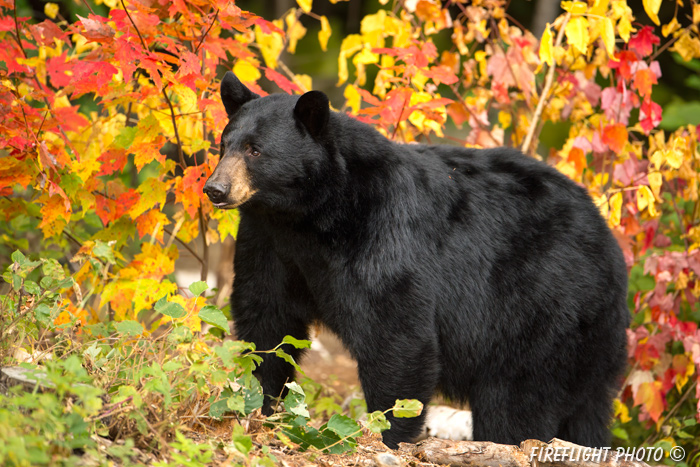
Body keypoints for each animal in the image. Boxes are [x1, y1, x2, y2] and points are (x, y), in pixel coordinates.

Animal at [201, 72, 628, 450]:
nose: (215, 189)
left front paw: (388, 435)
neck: (311, 214)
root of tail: (610, 245)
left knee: (517, 399)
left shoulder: (382, 230)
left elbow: (395, 332)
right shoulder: (269, 240)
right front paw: (256, 403)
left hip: (541, 306)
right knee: (585, 410)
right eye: (224, 144)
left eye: (255, 150)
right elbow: (267, 318)